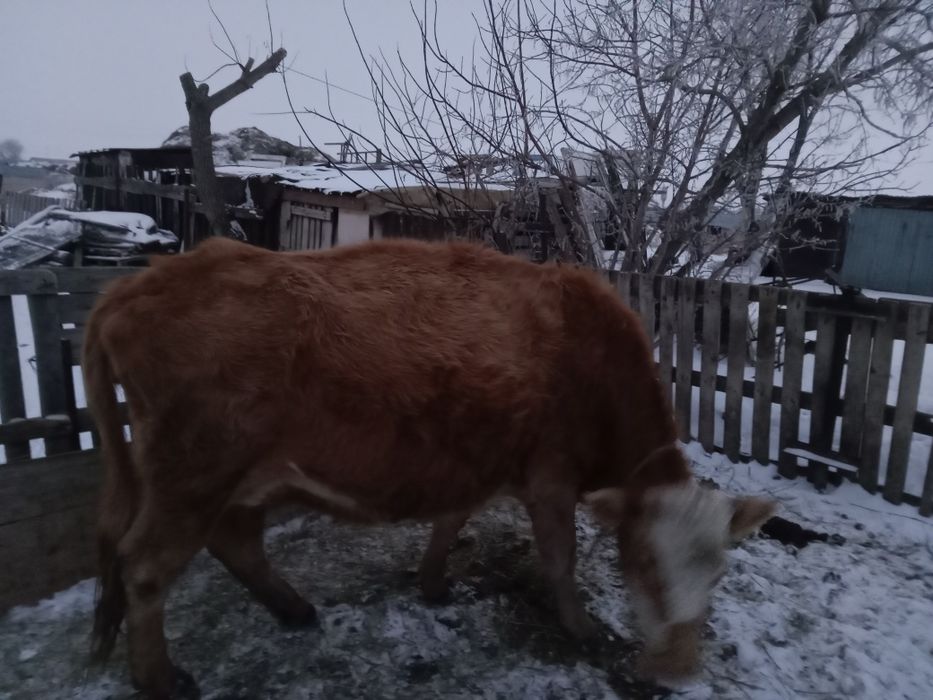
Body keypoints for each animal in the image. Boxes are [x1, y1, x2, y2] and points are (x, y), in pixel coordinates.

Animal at [83, 237, 776, 698]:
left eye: (718, 574)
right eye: (645, 565)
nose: (679, 671)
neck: (590, 355)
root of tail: (136, 284)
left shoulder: (477, 461)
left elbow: (451, 519)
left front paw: (433, 582)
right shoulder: (551, 477)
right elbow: (560, 559)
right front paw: (580, 626)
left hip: (238, 478)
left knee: (234, 540)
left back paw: (293, 608)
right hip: (191, 473)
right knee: (145, 567)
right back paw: (159, 678)